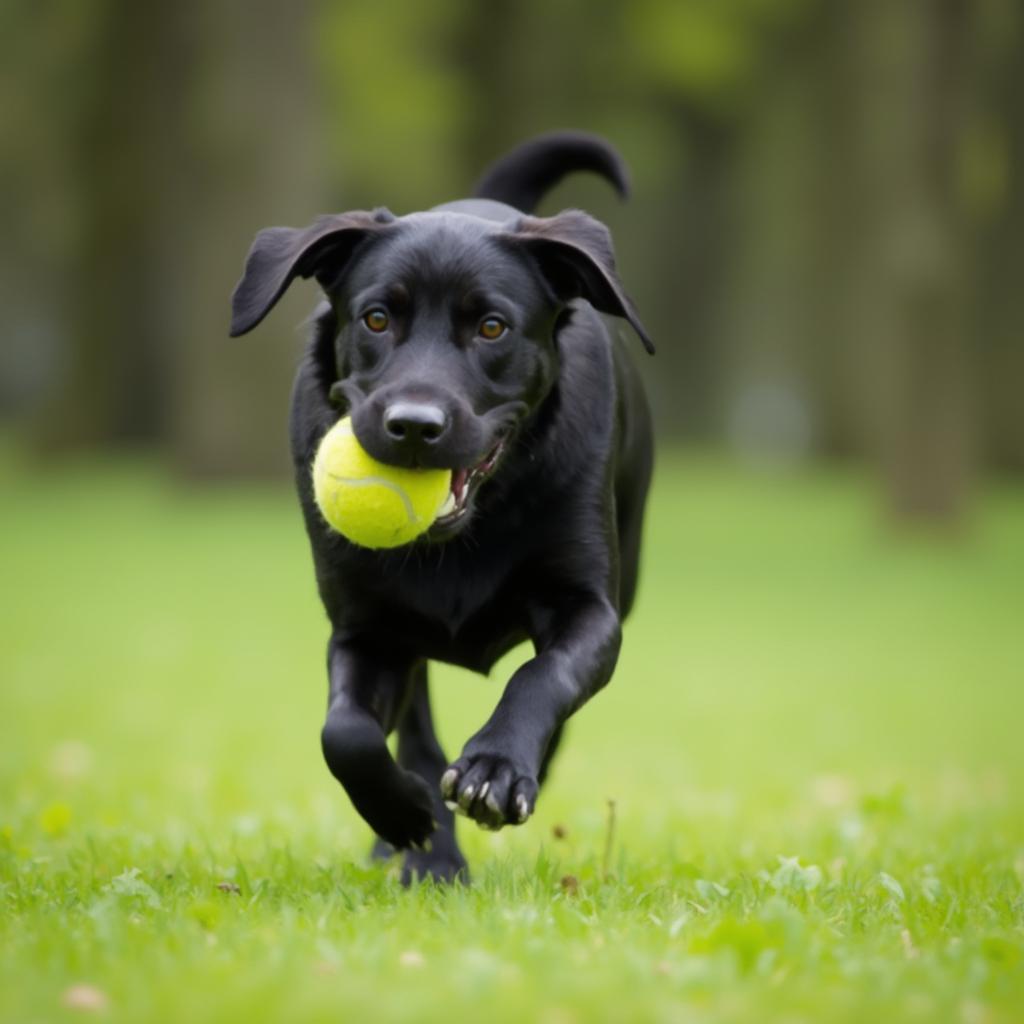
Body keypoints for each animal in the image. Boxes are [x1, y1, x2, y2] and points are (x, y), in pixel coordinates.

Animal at [229, 132, 651, 880]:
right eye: (376, 318)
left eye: (492, 327)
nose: (413, 426)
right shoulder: (365, 626)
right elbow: (345, 732)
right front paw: (402, 815)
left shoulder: (590, 607)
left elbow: (544, 673)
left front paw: (498, 767)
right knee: (414, 729)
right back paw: (430, 856)